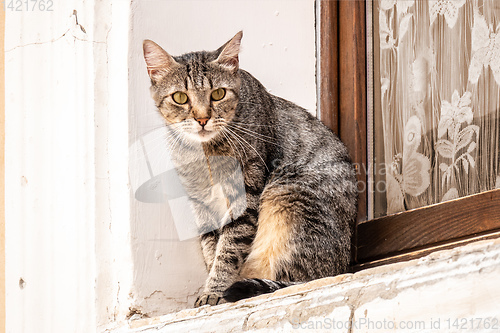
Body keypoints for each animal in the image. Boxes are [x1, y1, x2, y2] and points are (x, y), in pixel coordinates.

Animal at [143, 31, 358, 306]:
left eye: (218, 94)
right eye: (180, 97)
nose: (202, 119)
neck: (206, 154)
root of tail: (343, 264)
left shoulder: (246, 194)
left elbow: (228, 249)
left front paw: (214, 291)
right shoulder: (201, 203)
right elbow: (211, 248)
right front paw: (211, 287)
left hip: (289, 195)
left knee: (302, 278)